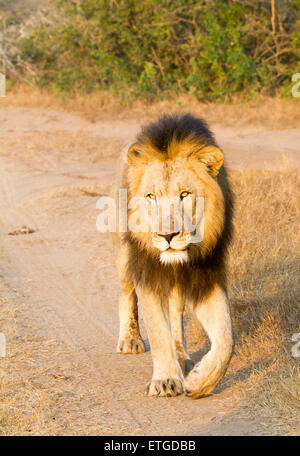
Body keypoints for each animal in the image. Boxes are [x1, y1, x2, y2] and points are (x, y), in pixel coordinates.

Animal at [111, 114, 233, 400]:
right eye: (151, 196)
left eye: (184, 194)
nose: (167, 236)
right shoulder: (147, 274)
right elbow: (157, 332)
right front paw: (166, 381)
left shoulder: (206, 276)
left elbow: (226, 340)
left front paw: (200, 382)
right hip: (124, 254)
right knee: (126, 293)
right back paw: (130, 340)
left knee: (176, 313)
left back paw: (182, 356)